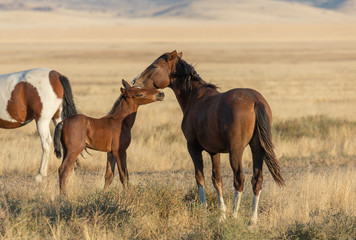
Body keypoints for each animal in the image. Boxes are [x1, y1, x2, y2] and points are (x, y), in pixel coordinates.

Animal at [132, 51, 286, 225]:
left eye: (154, 66)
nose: (135, 82)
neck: (195, 97)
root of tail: (255, 100)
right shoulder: (214, 152)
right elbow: (217, 180)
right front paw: (221, 215)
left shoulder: (193, 147)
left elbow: (200, 177)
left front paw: (204, 210)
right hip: (257, 148)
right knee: (257, 179)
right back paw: (252, 221)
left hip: (236, 151)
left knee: (239, 179)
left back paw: (234, 215)